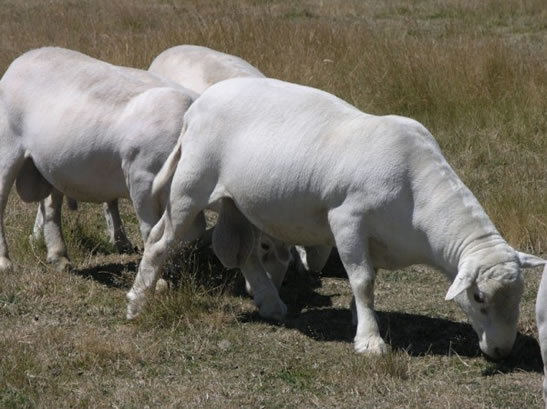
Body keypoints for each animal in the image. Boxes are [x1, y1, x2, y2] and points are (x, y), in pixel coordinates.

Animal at [131, 77, 544, 356]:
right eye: (478, 297)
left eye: (521, 295)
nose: (502, 351)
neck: (417, 199)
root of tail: (197, 105)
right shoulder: (347, 220)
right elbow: (363, 280)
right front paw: (370, 340)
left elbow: (368, 279)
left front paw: (359, 319)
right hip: (191, 184)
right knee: (159, 241)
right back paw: (138, 301)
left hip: (238, 201)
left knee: (244, 252)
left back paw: (270, 303)